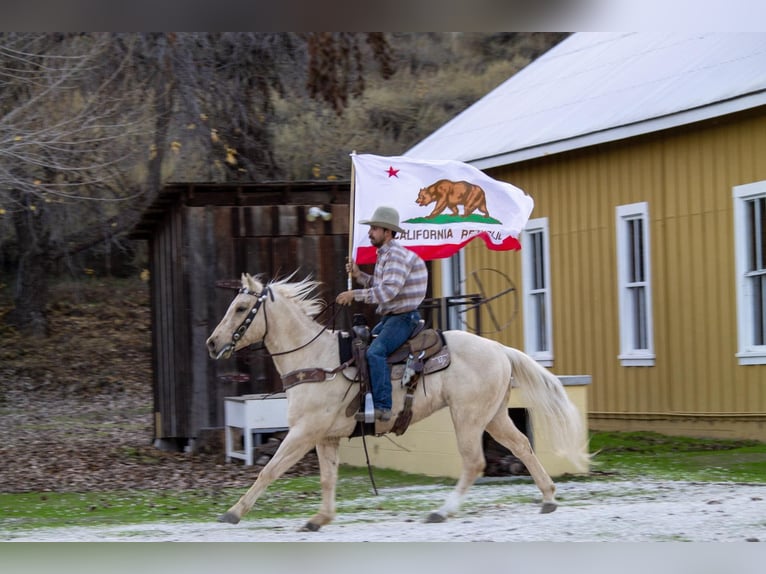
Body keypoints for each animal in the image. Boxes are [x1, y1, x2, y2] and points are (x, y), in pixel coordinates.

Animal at [204, 272, 588, 532]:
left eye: (241, 308)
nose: (212, 343)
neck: (316, 360)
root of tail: (498, 348)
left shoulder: (303, 432)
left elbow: (269, 470)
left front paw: (233, 512)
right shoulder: (325, 437)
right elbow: (327, 478)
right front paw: (320, 518)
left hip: (468, 417)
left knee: (475, 462)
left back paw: (442, 511)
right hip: (494, 415)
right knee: (522, 446)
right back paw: (548, 497)